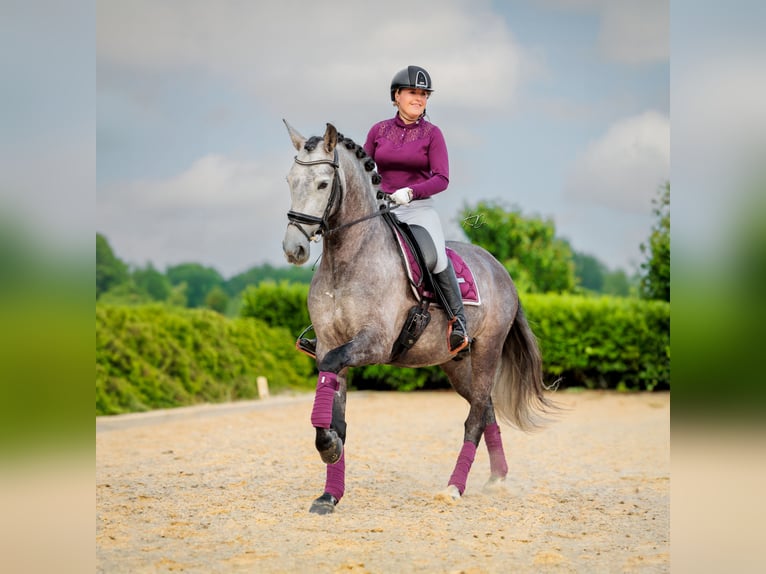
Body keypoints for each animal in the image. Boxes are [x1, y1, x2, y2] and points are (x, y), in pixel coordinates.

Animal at [284, 121, 556, 516]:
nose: (294, 249)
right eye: (290, 180)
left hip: (488, 350)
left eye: (322, 183)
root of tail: (498, 267)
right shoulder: (329, 346)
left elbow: (334, 388)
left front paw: (328, 447)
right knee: (485, 405)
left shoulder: (373, 343)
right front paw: (329, 492)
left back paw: (455, 487)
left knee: (476, 415)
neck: (347, 259)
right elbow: (337, 415)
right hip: (457, 362)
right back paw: (497, 478)